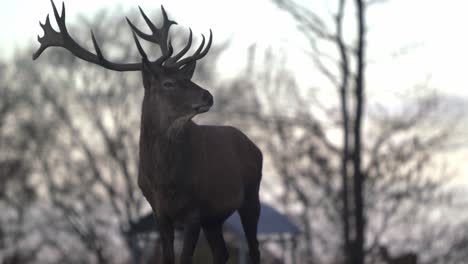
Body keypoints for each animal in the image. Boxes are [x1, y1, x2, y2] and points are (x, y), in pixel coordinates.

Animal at [33, 1, 264, 262]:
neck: (164, 180)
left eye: (187, 78)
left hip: (251, 196)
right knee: (222, 252)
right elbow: (167, 258)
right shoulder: (159, 212)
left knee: (254, 248)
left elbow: (185, 258)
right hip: (214, 217)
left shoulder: (194, 211)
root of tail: (254, 147)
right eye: (168, 83)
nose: (208, 96)